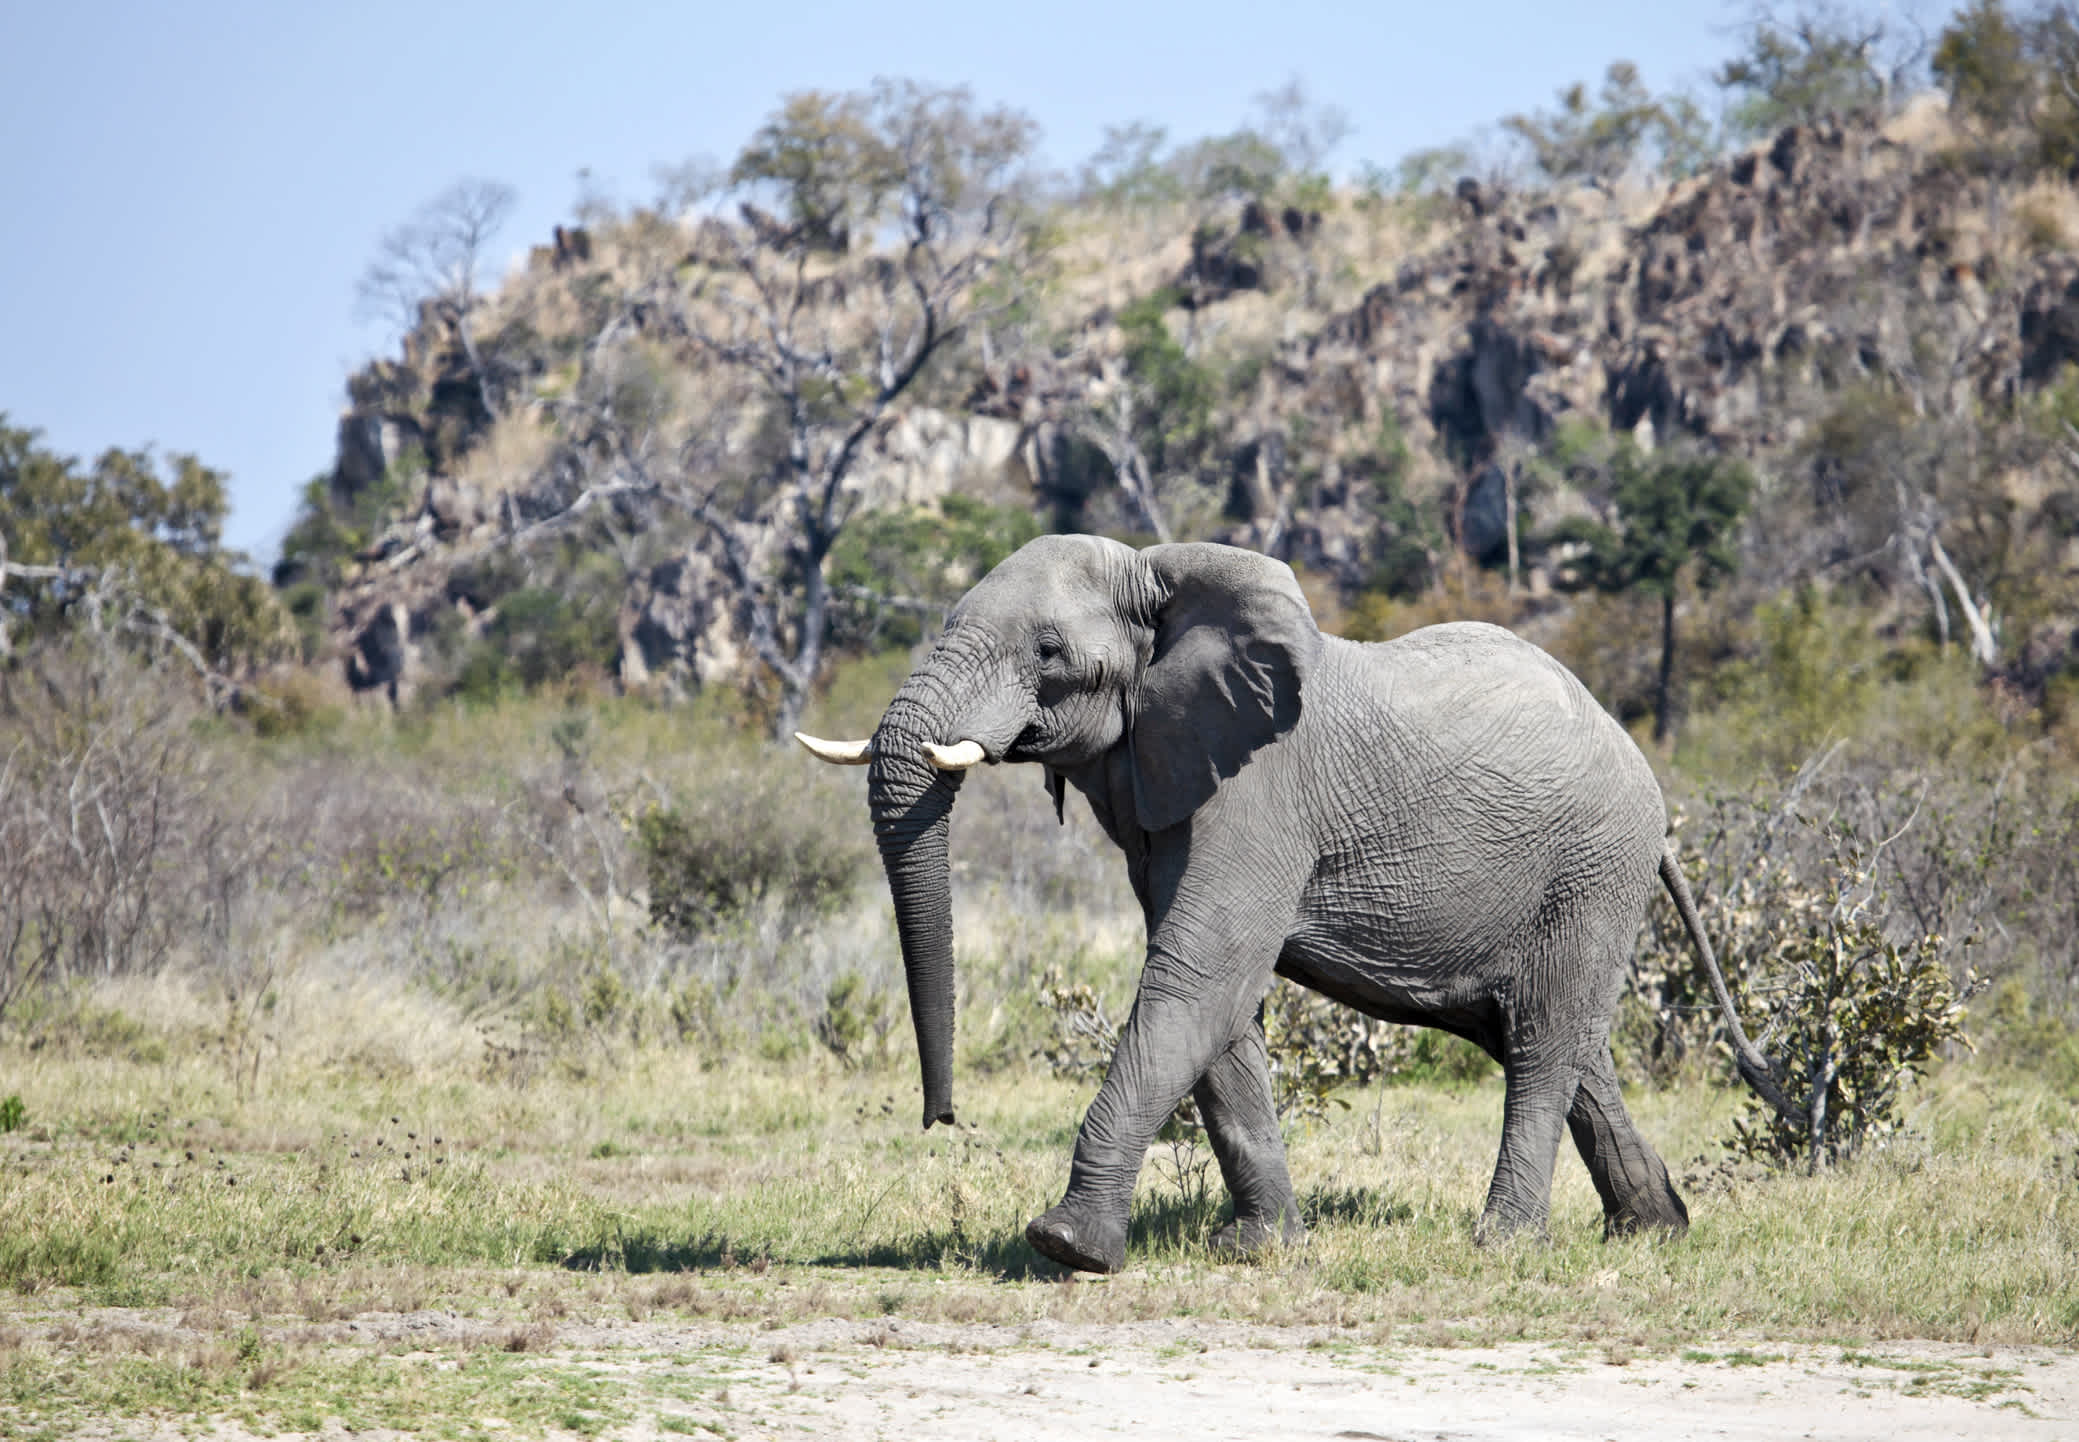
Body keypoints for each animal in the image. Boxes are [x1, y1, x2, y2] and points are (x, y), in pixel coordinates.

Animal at [794, 540, 1787, 1279]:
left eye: (1047, 651)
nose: (942, 1119)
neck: (1160, 572)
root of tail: (1648, 783)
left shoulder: (1258, 793)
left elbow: (1198, 977)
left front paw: (1064, 1247)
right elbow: (1222, 1007)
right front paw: (1258, 1248)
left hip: (1591, 866)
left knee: (1543, 1044)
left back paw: (1504, 1246)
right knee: (1561, 1040)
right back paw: (1654, 1232)